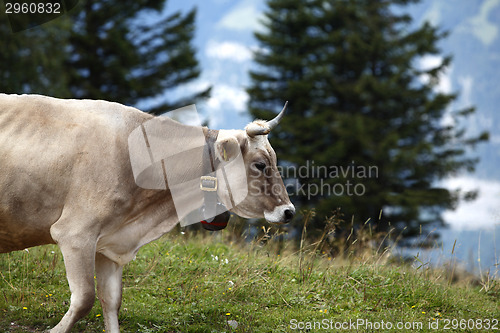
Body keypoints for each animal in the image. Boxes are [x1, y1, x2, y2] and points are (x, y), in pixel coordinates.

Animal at [0, 94, 294, 332]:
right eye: (260, 164)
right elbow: (84, 299)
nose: (289, 211)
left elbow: (112, 303)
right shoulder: (75, 234)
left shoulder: (109, 244)